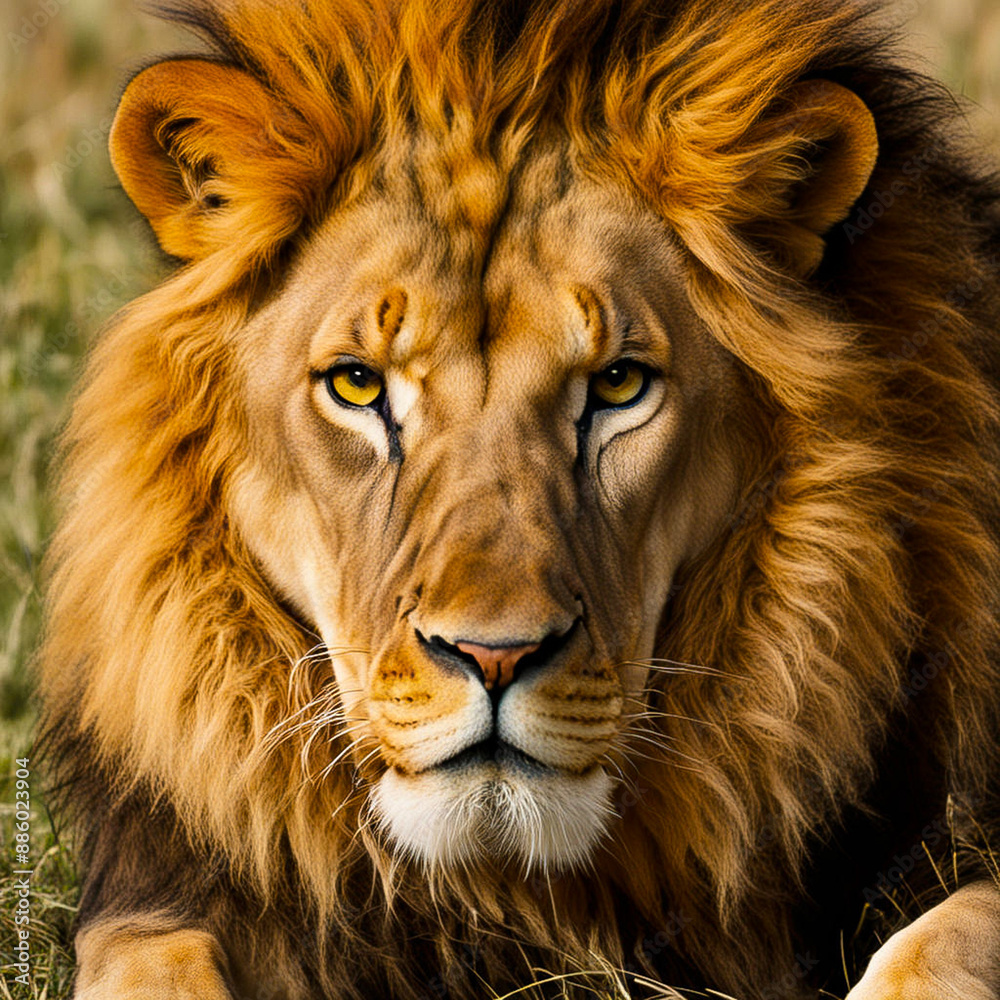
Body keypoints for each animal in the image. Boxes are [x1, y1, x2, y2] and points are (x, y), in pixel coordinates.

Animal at [37, 0, 1000, 997]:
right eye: (356, 384)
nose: (493, 657)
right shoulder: (162, 896)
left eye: (618, 384)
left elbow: (946, 936)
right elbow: (149, 965)